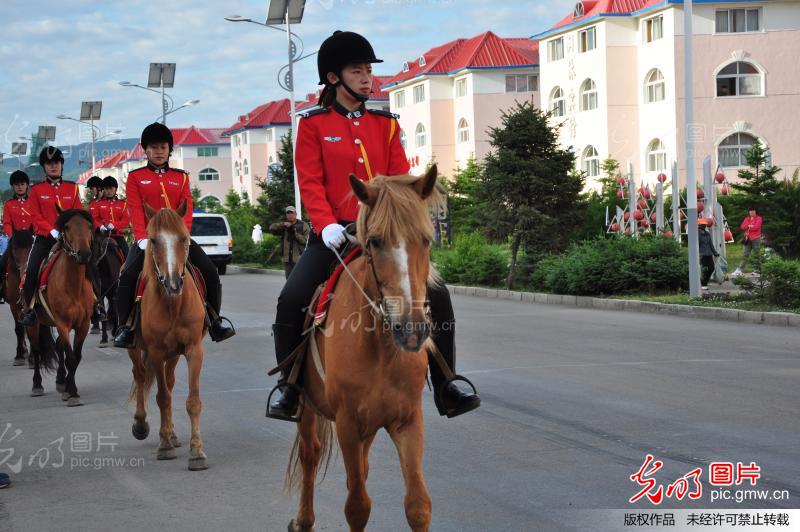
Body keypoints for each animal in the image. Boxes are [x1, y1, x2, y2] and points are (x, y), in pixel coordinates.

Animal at [26, 210, 94, 406]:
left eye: (89, 226)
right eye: (67, 227)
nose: (84, 255)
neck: (73, 285)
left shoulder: (83, 325)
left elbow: (76, 357)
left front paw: (70, 389)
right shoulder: (63, 323)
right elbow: (71, 357)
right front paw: (73, 394)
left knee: (59, 346)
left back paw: (61, 381)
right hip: (34, 323)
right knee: (37, 350)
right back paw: (37, 385)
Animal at [126, 202, 209, 472]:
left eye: (184, 238)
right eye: (153, 240)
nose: (173, 284)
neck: (172, 303)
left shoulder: (194, 349)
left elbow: (192, 400)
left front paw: (197, 452)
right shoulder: (155, 351)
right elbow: (161, 397)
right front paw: (163, 446)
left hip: (174, 354)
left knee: (170, 383)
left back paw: (171, 433)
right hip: (136, 348)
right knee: (140, 376)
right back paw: (142, 424)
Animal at [282, 167, 444, 532]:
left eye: (426, 240)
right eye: (375, 241)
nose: (411, 330)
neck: (381, 347)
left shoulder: (408, 420)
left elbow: (419, 505)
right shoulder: (347, 423)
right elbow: (357, 505)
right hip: (308, 408)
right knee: (311, 455)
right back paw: (303, 519)